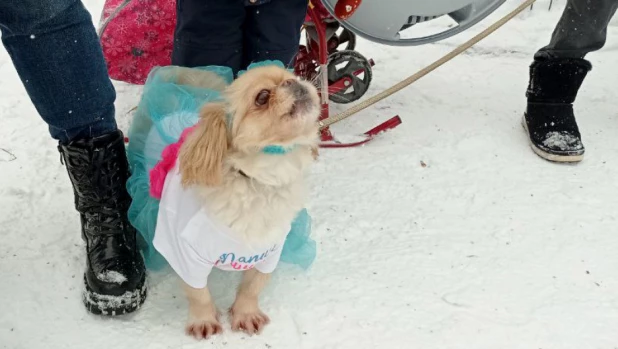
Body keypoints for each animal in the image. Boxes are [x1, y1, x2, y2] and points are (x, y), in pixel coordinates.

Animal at [152, 64, 320, 338]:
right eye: (262, 97)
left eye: (293, 76)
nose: (293, 83)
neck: (256, 181)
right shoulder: (184, 252)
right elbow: (198, 293)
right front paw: (204, 321)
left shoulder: (269, 250)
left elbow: (253, 286)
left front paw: (245, 315)